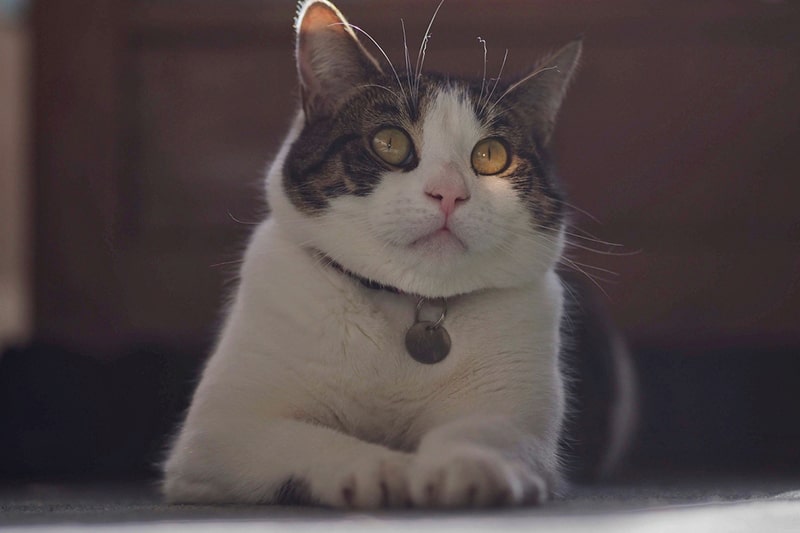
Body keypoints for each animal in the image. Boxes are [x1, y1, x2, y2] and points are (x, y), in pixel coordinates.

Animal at [161, 0, 632, 508]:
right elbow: (307, 438)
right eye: (390, 143)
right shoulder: (220, 429)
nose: (449, 193)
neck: (410, 307)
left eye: (490, 155)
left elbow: (485, 431)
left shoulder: (520, 413)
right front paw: (379, 469)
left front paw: (468, 466)